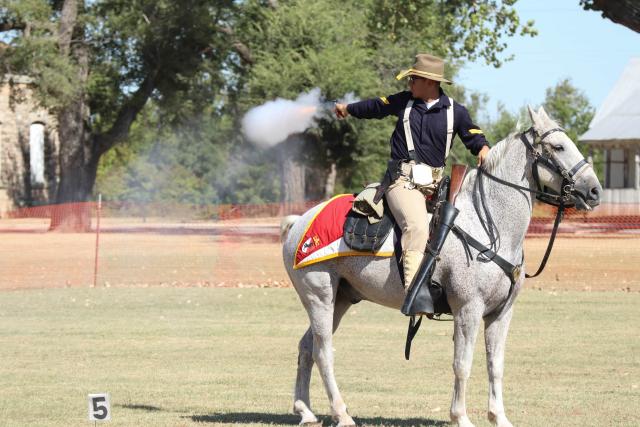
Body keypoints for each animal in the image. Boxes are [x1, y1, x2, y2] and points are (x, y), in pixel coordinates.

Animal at [282, 107, 604, 427]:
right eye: (558, 147)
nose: (595, 191)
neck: (488, 224)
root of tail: (298, 223)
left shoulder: (502, 312)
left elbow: (495, 364)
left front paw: (498, 416)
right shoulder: (468, 308)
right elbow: (462, 364)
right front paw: (460, 417)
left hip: (341, 299)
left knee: (306, 347)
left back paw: (306, 411)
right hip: (319, 297)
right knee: (323, 352)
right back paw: (342, 413)